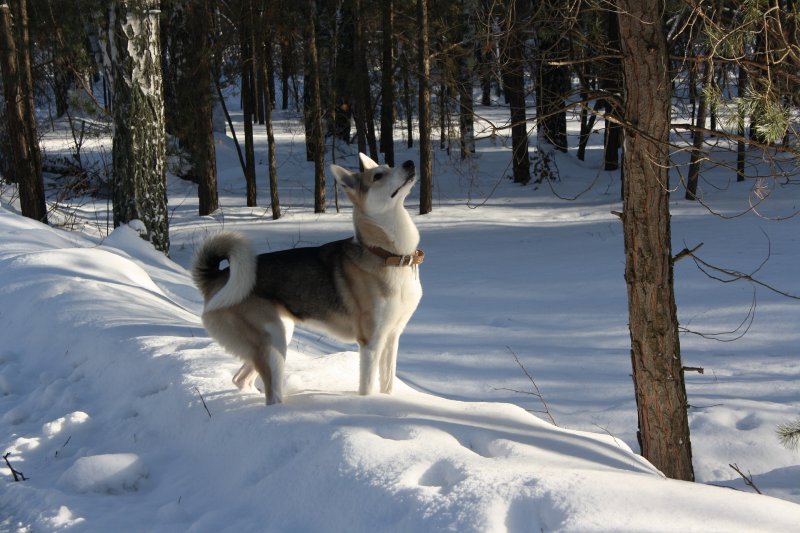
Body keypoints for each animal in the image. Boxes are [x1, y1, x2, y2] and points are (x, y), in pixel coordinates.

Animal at [191, 152, 424, 402]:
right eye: (378, 175)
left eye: (389, 166)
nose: (409, 163)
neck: (390, 255)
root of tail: (218, 276)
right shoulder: (371, 343)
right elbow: (368, 388)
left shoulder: (392, 337)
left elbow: (388, 384)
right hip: (274, 341)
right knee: (270, 394)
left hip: (279, 334)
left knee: (240, 379)